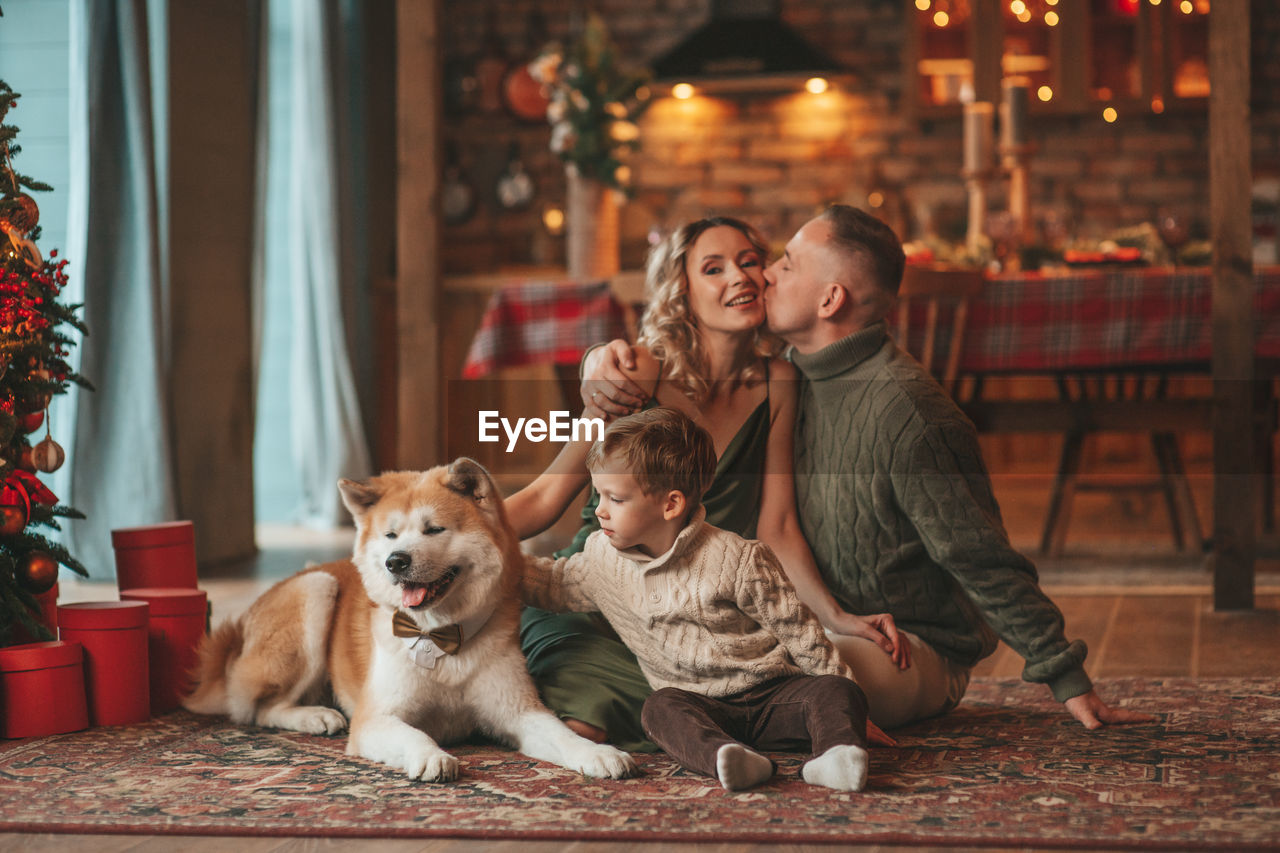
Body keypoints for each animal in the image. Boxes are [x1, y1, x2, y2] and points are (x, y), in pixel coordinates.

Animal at [183, 455, 637, 778]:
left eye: (434, 529)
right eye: (390, 535)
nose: (395, 561)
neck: (439, 635)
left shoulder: (519, 713)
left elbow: (563, 734)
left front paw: (599, 753)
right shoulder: (376, 718)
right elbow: (413, 732)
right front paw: (431, 756)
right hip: (316, 590)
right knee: (258, 709)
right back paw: (314, 716)